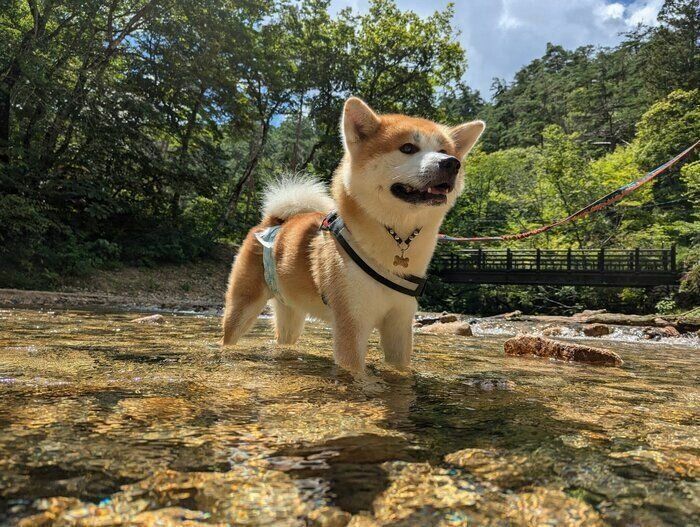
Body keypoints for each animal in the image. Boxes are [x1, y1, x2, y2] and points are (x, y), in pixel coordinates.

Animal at [221, 97, 484, 374]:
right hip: (242, 308)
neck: (396, 239)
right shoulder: (352, 323)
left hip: (290, 313)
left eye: (445, 151)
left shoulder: (399, 324)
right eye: (408, 148)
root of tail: (272, 221)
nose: (451, 163)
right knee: (229, 335)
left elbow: (400, 368)